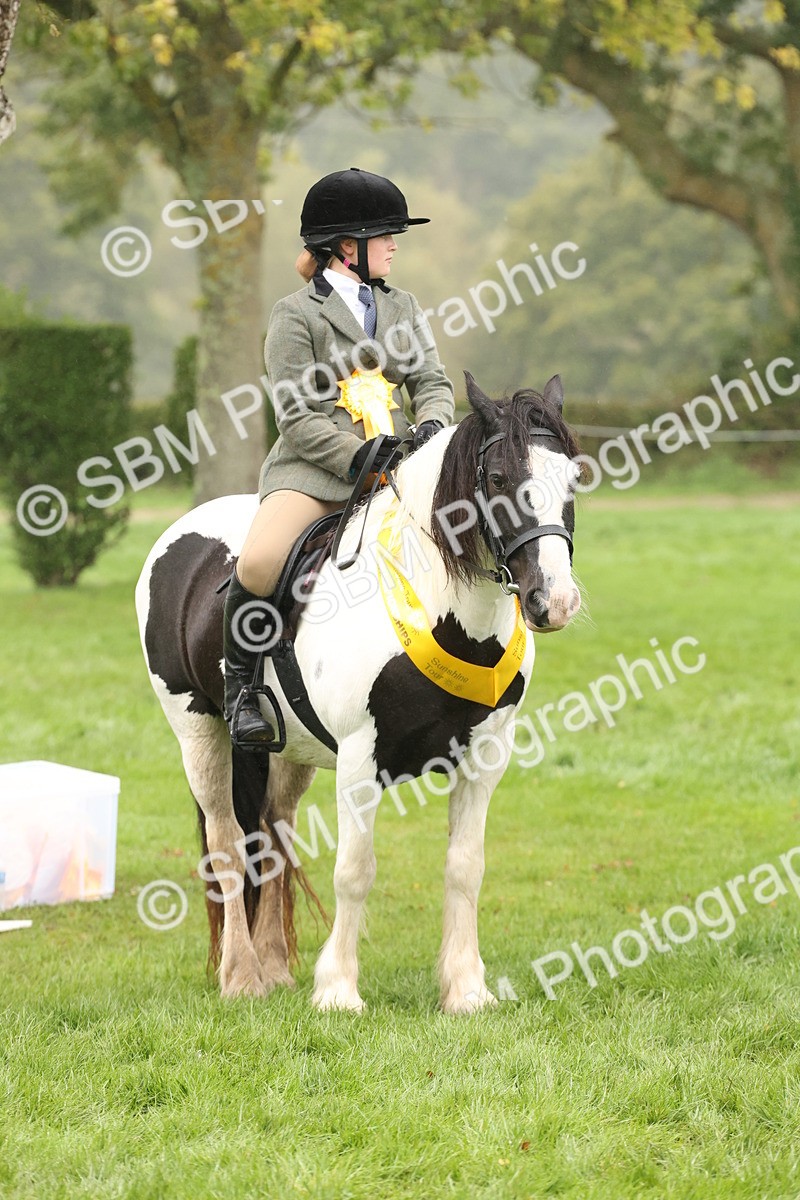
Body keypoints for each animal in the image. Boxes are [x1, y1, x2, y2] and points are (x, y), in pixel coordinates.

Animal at [134, 373, 582, 1013]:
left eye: (573, 477)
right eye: (498, 479)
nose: (554, 601)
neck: (442, 608)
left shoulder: (485, 757)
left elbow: (465, 867)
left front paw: (466, 990)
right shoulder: (357, 758)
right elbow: (354, 870)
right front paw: (339, 991)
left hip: (290, 749)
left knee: (274, 833)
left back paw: (274, 969)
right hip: (199, 731)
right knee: (226, 843)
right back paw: (242, 976)